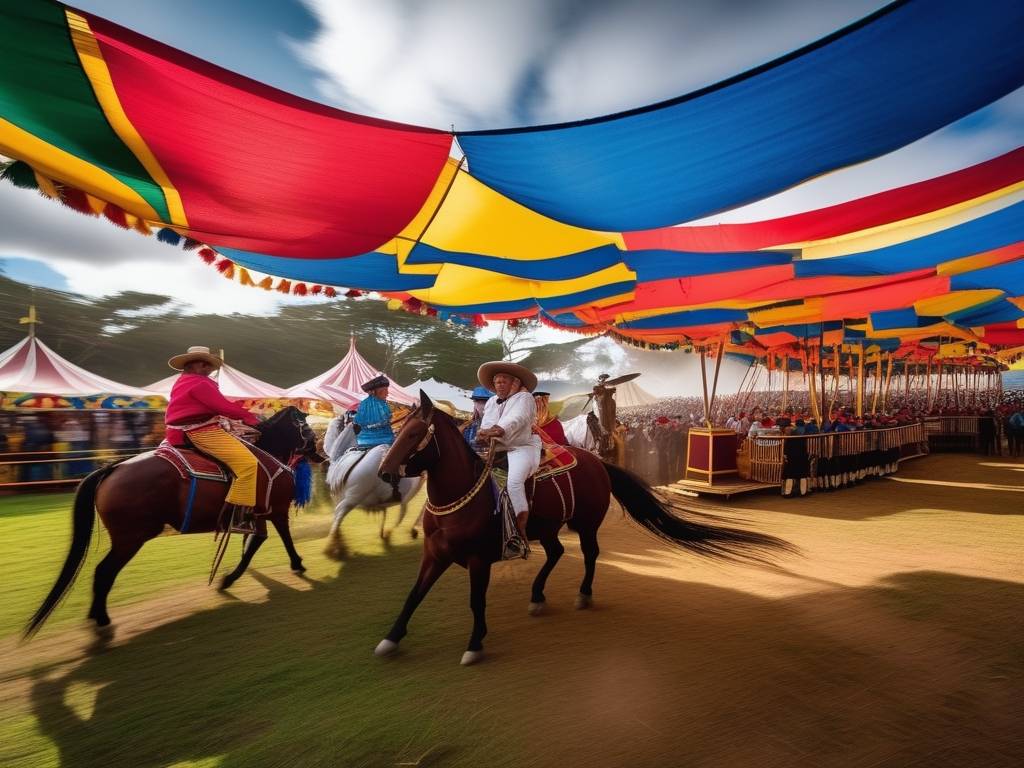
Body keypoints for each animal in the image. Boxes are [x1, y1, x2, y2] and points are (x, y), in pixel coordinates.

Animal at [24, 409, 319, 638]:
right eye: (309, 429)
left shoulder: (257, 516)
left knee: (103, 573)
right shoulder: (275, 511)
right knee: (104, 571)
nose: (321, 453)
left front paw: (230, 578)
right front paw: (296, 564)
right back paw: (102, 619)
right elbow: (275, 540)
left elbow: (252, 545)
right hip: (130, 539)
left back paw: (95, 617)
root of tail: (113, 468)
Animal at [376, 393, 782, 663]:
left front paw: (475, 644)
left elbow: (476, 601)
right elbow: (414, 594)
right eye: (397, 431)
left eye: (414, 434)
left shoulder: (479, 559)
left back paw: (583, 594)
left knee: (589, 554)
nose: (384, 472)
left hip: (585, 523)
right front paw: (391, 638)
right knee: (556, 552)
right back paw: (537, 596)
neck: (459, 499)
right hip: (549, 526)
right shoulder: (435, 554)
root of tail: (597, 462)